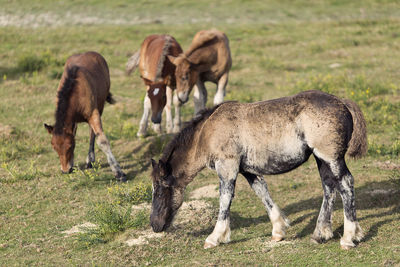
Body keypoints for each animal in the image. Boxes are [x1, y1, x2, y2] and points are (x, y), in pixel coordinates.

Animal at [43, 51, 126, 182]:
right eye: (54, 147)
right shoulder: (72, 122)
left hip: (100, 107)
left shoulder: (93, 113)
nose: (65, 171)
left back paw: (90, 160)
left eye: (70, 146)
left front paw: (118, 172)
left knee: (92, 133)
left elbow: (102, 140)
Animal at [149, 90, 366, 251]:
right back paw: (320, 234)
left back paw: (348, 237)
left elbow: (224, 199)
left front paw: (214, 237)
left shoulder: (227, 167)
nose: (155, 225)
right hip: (321, 159)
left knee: (345, 183)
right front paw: (278, 230)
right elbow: (262, 192)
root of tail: (342, 102)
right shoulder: (248, 170)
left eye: (159, 190)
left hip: (331, 158)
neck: (207, 131)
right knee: (329, 186)